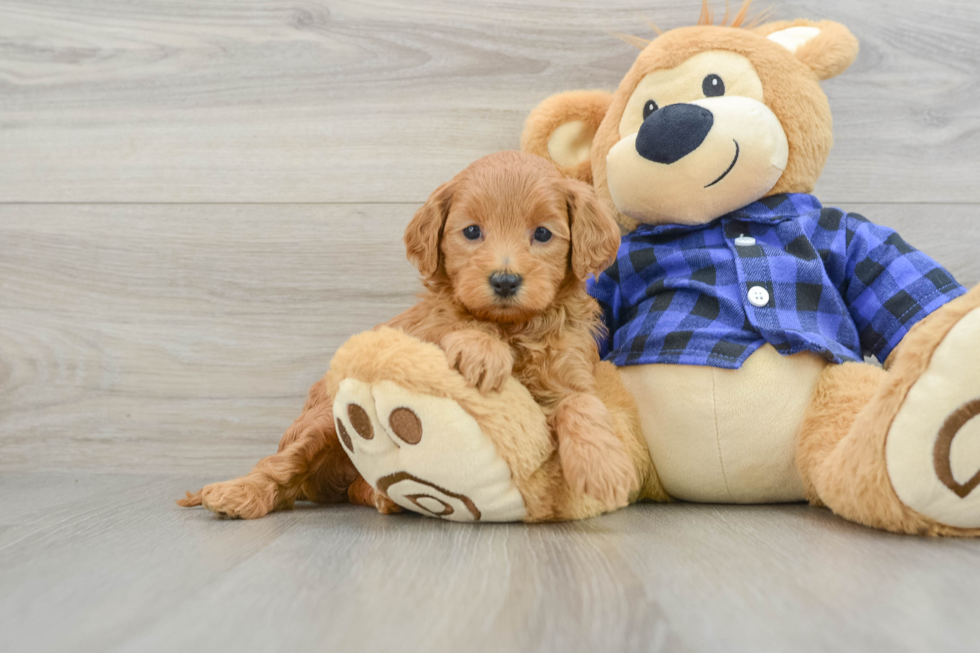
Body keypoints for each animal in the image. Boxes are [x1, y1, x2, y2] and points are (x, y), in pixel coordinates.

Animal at [180, 150, 640, 516]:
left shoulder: (570, 371)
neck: (512, 325)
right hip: (322, 420)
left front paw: (605, 469)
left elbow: (583, 405)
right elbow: (460, 326)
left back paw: (381, 497)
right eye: (472, 231)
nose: (505, 281)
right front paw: (482, 351)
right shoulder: (425, 334)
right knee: (283, 464)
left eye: (543, 233)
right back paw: (238, 493)